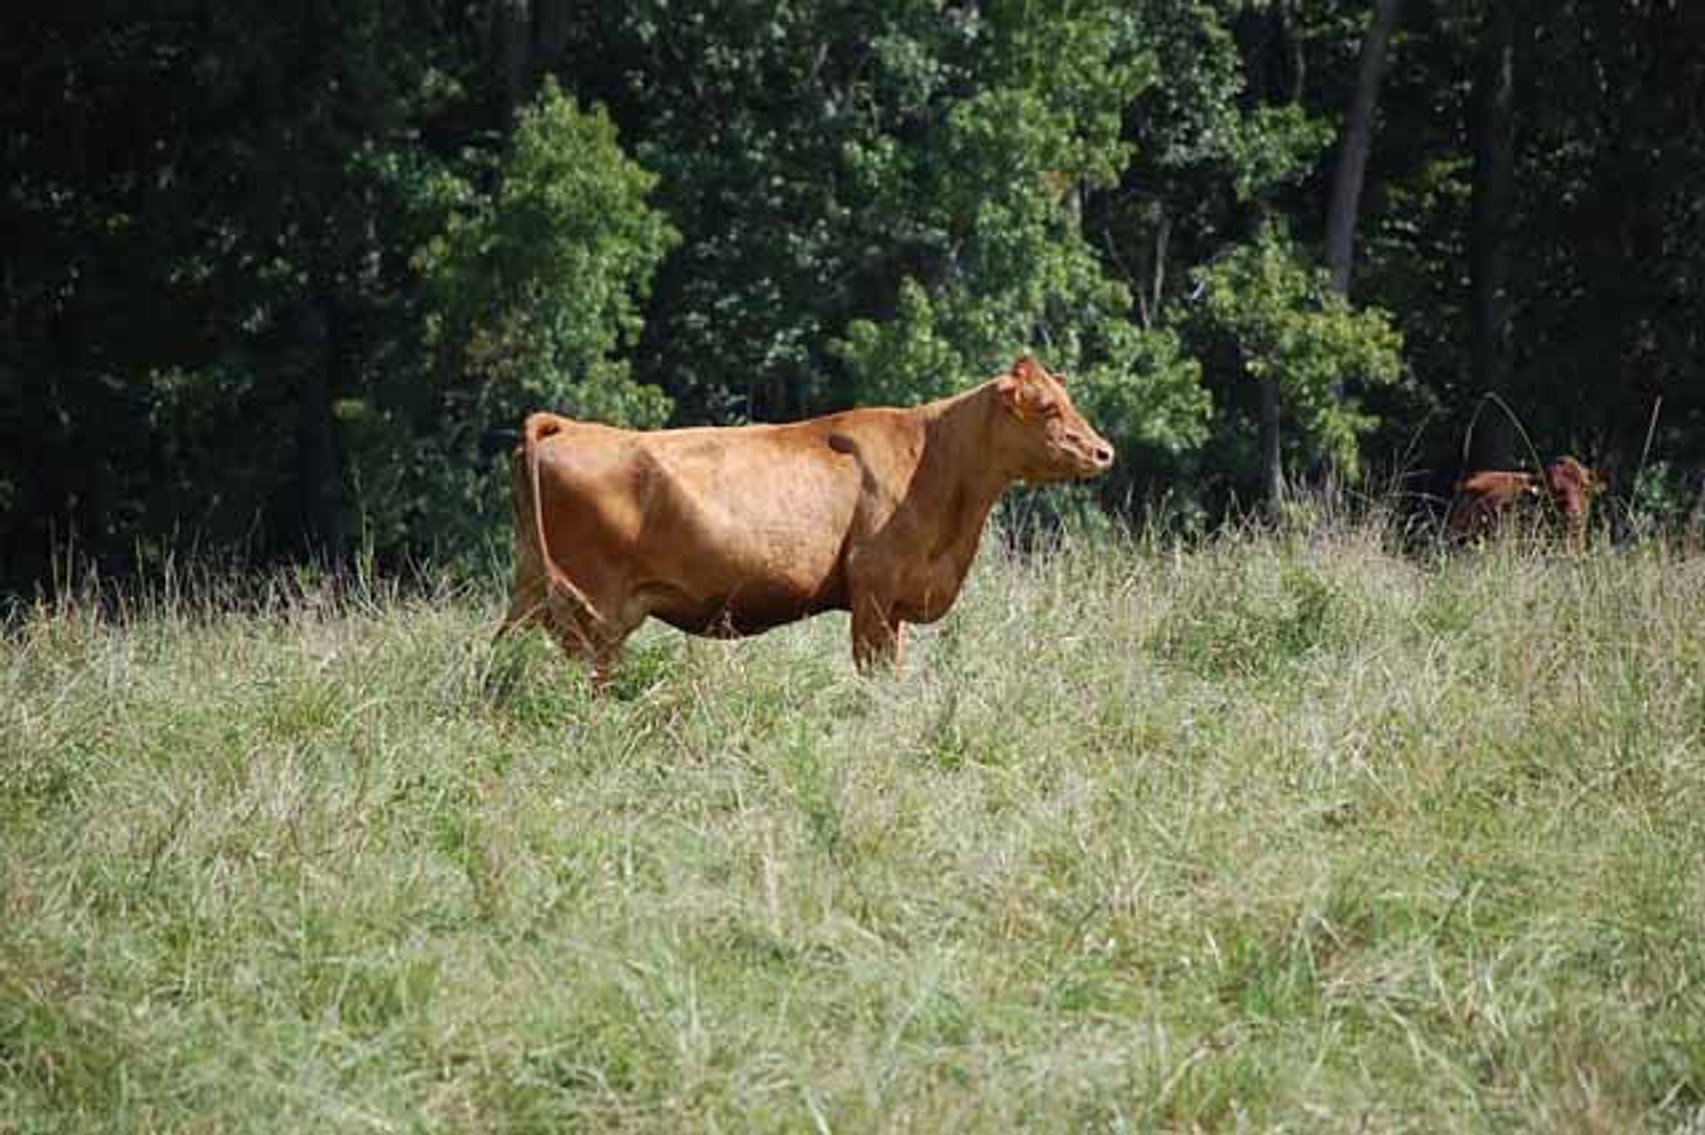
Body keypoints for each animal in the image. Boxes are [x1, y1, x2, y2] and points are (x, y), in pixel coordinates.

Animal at [496, 355, 1115, 681]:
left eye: (1067, 398)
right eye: (1048, 407)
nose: (1104, 451)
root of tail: (569, 425)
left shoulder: (893, 604)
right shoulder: (872, 592)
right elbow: (874, 671)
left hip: (532, 589)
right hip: (593, 611)